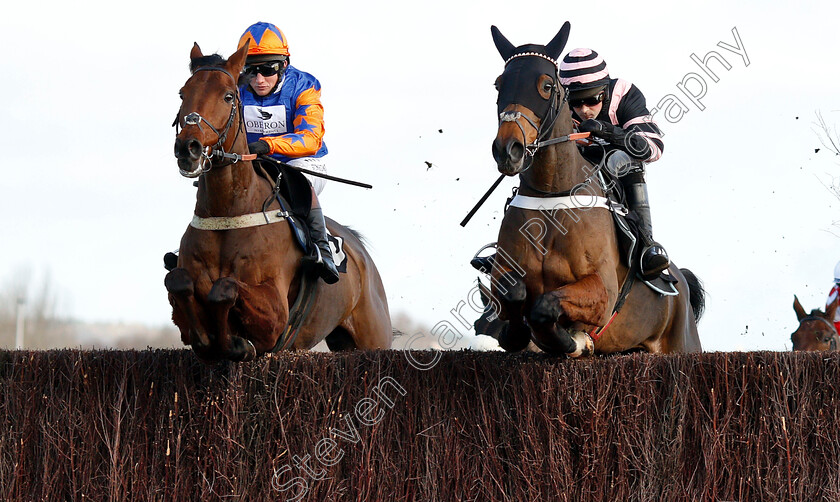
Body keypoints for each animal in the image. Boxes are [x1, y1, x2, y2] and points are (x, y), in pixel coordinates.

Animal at [166, 40, 392, 360]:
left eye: (227, 96)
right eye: (183, 93)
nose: (188, 148)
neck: (229, 211)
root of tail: (362, 254)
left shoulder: (275, 314)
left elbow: (225, 288)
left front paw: (235, 342)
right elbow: (179, 281)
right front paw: (213, 339)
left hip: (374, 336)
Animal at [482, 21, 704, 354]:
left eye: (546, 85)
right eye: (499, 84)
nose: (508, 150)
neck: (552, 194)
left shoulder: (601, 290)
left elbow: (545, 307)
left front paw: (571, 340)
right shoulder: (503, 275)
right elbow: (514, 295)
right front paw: (519, 330)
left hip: (683, 344)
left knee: (624, 159)